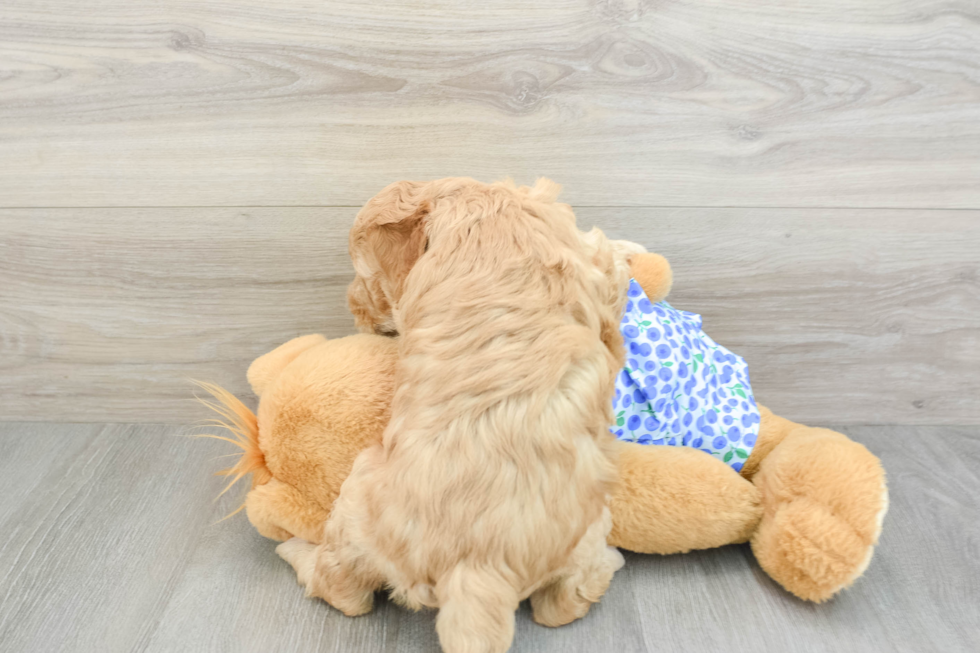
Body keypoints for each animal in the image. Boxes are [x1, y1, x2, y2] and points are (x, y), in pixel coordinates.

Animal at [278, 178, 644, 652]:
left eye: (363, 275)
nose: (354, 311)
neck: (481, 206)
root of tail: (477, 569)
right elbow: (608, 264)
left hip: (356, 497)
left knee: (341, 589)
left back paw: (293, 549)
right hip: (586, 532)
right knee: (562, 605)